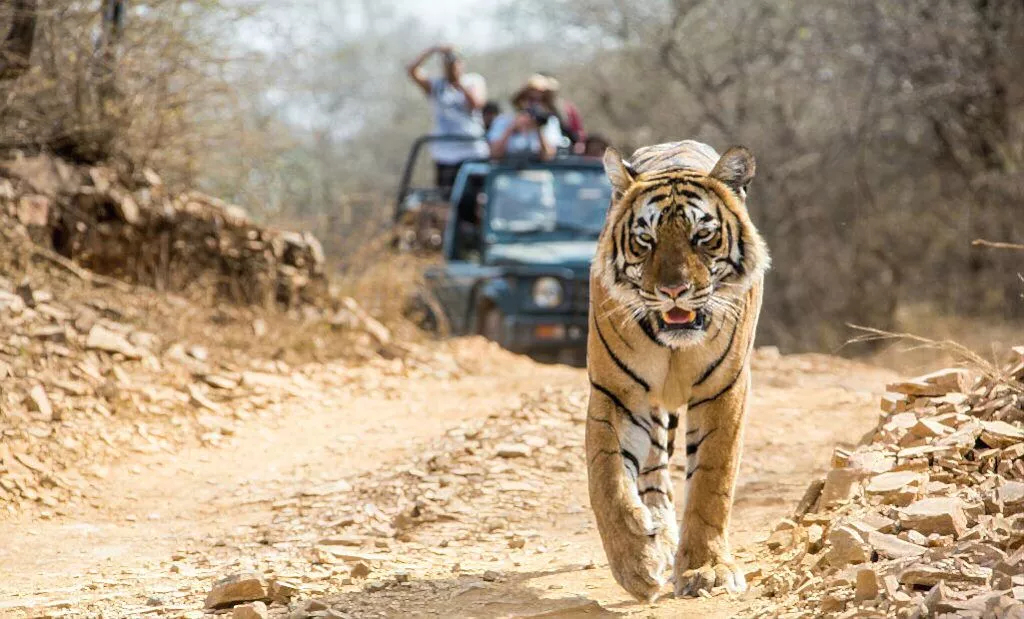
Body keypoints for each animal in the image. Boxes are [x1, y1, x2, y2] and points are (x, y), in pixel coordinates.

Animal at [586, 140, 769, 601]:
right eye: (645, 240)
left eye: (702, 236)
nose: (673, 291)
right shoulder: (616, 393)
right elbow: (607, 481)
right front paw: (636, 563)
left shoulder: (725, 390)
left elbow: (711, 483)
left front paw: (707, 570)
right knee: (652, 471)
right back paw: (658, 534)